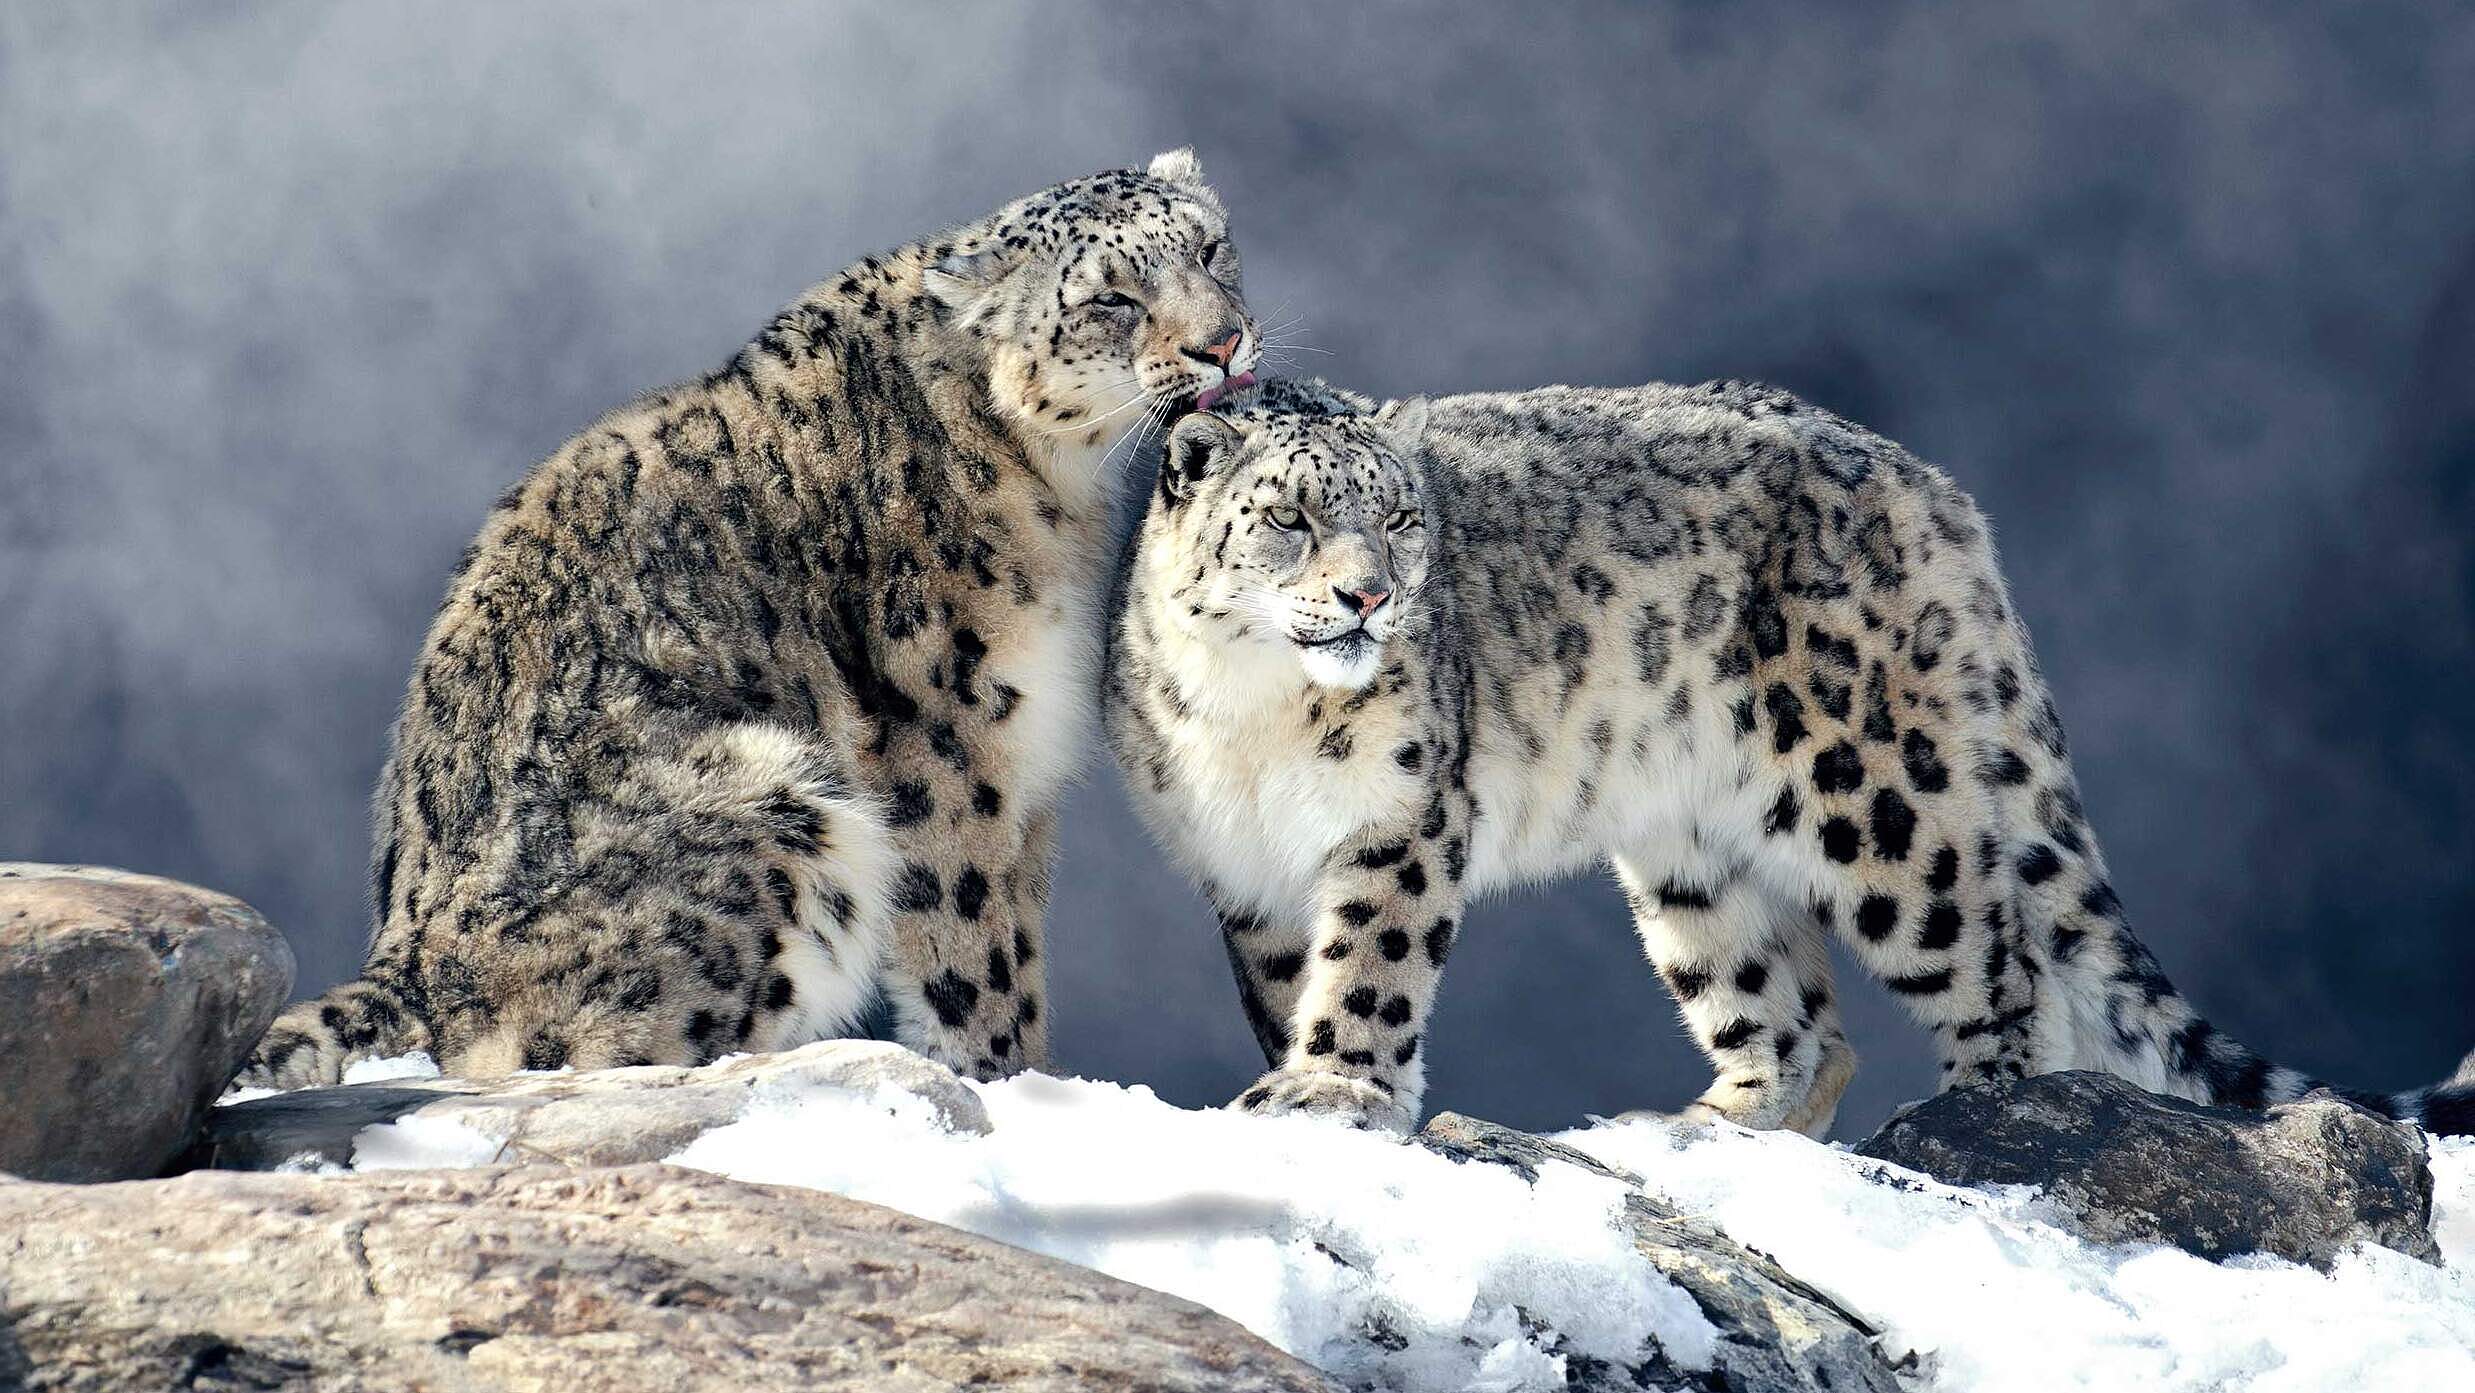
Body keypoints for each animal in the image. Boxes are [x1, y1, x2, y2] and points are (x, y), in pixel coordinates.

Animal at [243, 150, 1260, 1088]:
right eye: (1111, 298)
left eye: (1212, 248)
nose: (1223, 343)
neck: (1060, 483)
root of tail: (404, 958)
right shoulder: (951, 750)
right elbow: (977, 952)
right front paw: (1012, 1084)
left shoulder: (1027, 777)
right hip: (777, 807)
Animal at [1106, 375, 2474, 1138]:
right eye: (1289, 518)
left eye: (1398, 517)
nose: (1370, 597)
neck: (1257, 718)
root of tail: (1925, 482)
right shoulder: (1243, 874)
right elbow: (1293, 981)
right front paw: (1307, 1079)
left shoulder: (1399, 820)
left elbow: (1372, 966)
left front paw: (1333, 1089)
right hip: (1689, 854)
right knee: (1790, 1010)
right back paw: (1705, 1128)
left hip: (1878, 795)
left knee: (1999, 954)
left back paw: (1974, 1117)